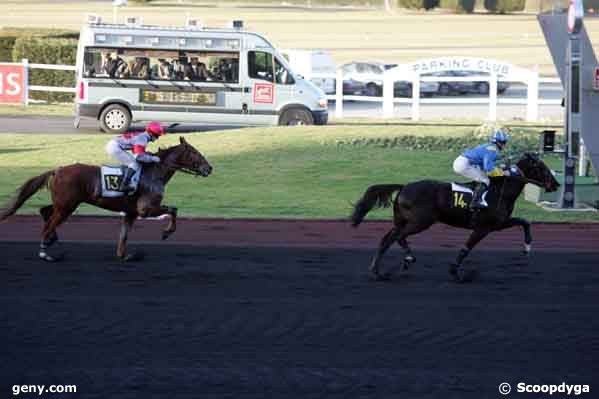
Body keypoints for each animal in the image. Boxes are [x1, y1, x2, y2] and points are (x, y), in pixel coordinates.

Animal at [0, 138, 212, 262]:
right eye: (194, 152)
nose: (209, 168)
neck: (155, 172)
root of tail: (57, 170)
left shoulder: (131, 213)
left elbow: (123, 236)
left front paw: (124, 255)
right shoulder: (146, 209)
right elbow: (173, 210)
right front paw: (166, 232)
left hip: (64, 204)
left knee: (44, 211)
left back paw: (52, 239)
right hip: (67, 207)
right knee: (49, 223)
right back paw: (45, 251)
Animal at [352, 153, 564, 282]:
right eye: (542, 168)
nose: (556, 184)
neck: (500, 191)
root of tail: (404, 186)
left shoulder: (498, 224)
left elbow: (524, 222)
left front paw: (527, 247)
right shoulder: (483, 228)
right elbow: (467, 247)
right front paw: (456, 272)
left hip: (405, 221)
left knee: (390, 238)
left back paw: (390, 266)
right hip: (420, 222)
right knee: (395, 237)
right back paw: (393, 265)